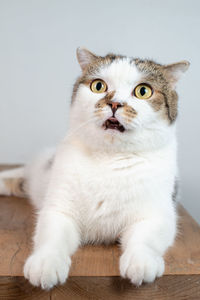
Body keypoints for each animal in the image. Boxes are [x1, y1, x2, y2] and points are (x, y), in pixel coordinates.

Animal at [0, 48, 189, 290]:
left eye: (143, 91)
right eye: (98, 86)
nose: (115, 104)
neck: (109, 159)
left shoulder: (157, 214)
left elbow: (145, 239)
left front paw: (140, 261)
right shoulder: (59, 208)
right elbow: (52, 237)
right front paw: (46, 263)